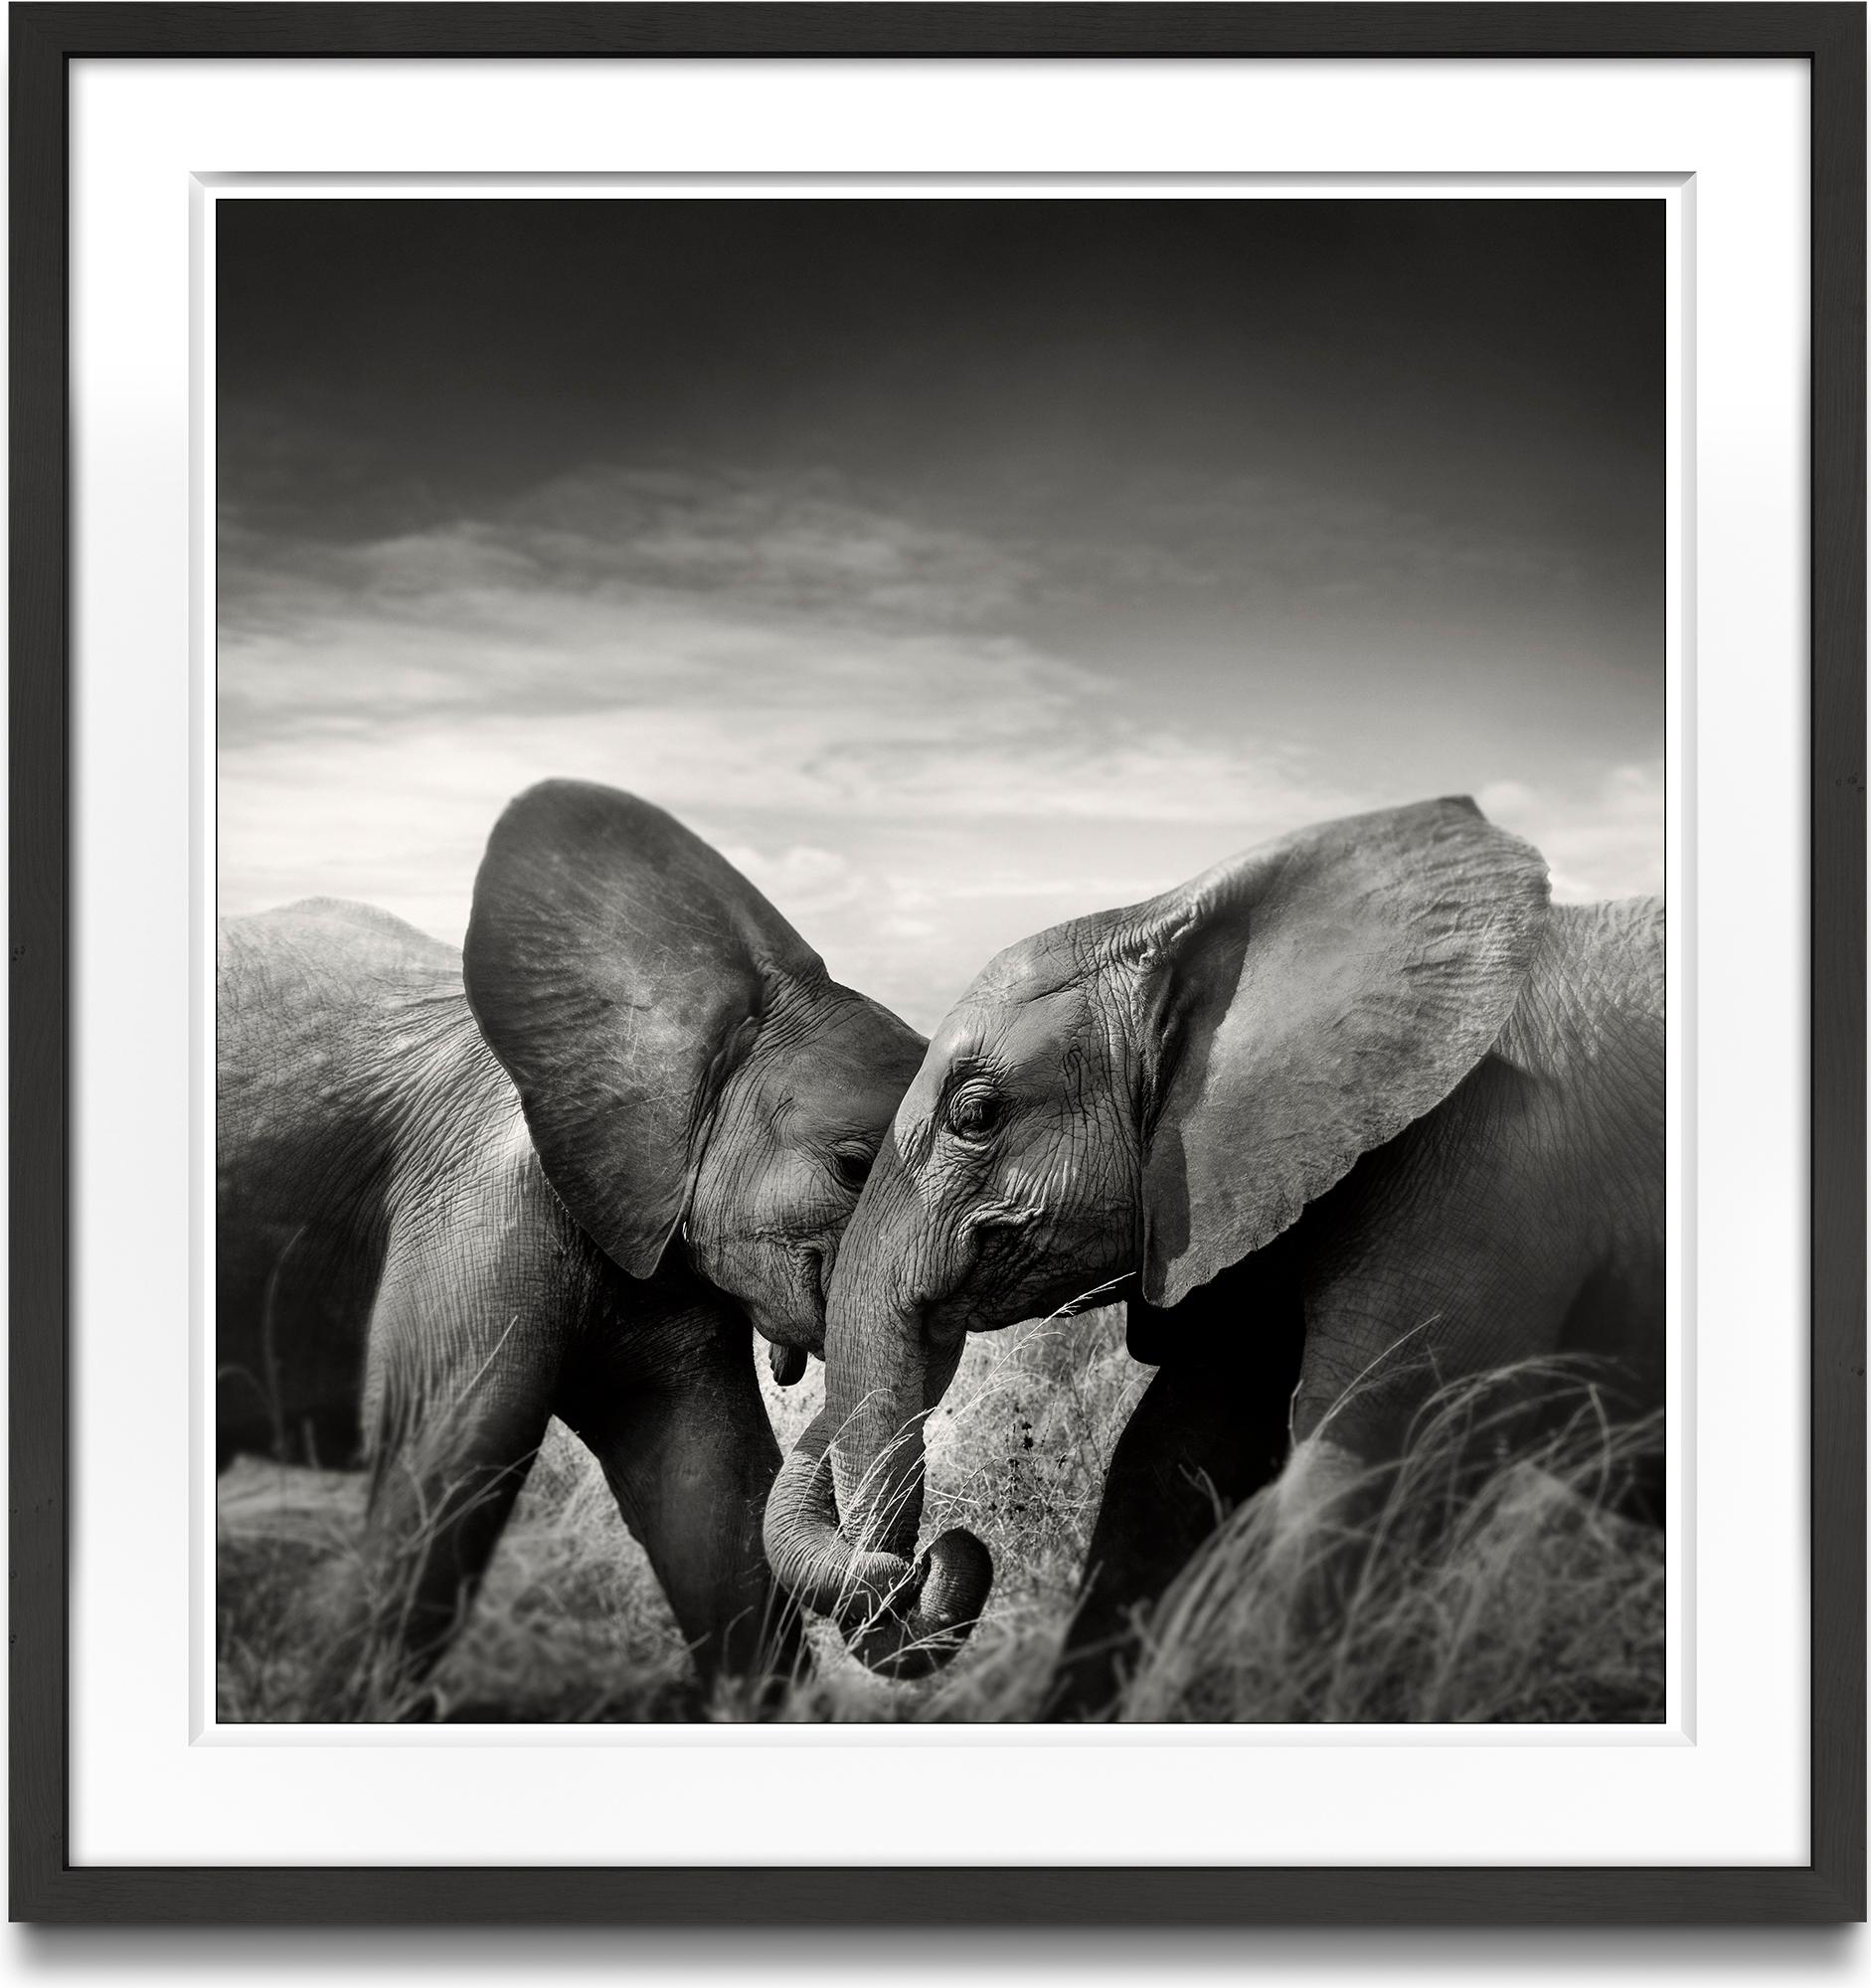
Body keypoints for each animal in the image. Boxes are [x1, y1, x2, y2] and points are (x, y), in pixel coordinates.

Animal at [760, 791, 1662, 1710]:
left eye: (974, 1116)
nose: (935, 1561)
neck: (1168, 915)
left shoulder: (1485, 1184)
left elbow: (1351, 1490)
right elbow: (1172, 1454)